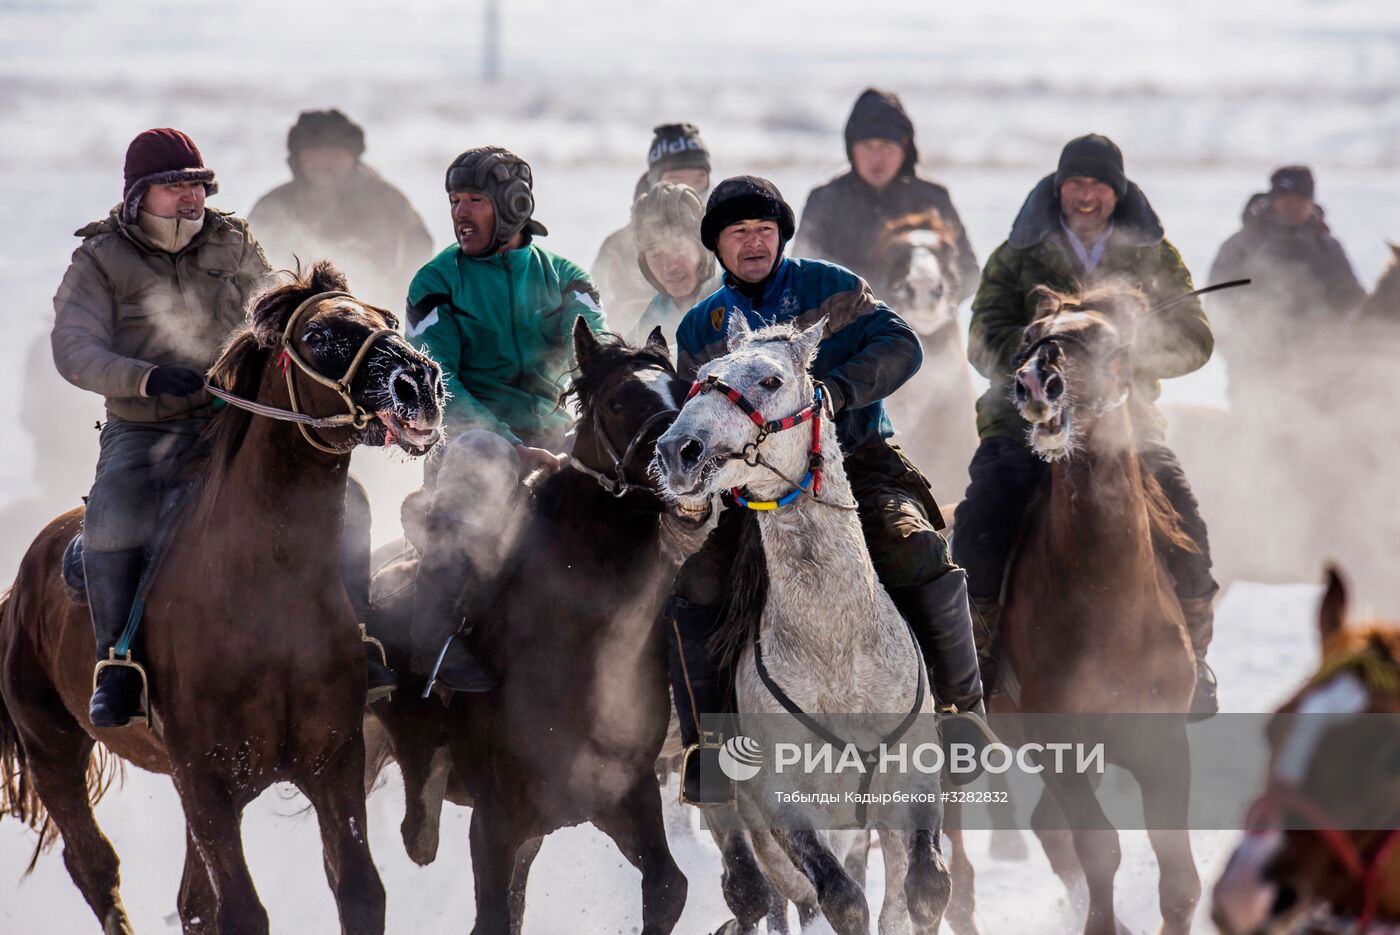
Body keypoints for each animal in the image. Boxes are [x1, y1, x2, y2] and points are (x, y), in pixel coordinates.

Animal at [0, 261, 442, 935]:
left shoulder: (333, 762)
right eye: (319, 334)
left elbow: (359, 890)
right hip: (53, 750)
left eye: (387, 318)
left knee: (188, 901)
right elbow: (240, 912)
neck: (265, 598)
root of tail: (21, 586)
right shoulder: (206, 781)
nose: (419, 382)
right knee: (95, 865)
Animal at [364, 317, 686, 929]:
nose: (689, 456)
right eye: (616, 400)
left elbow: (668, 888)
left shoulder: (624, 795)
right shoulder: (494, 819)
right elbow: (492, 918)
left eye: (685, 392)